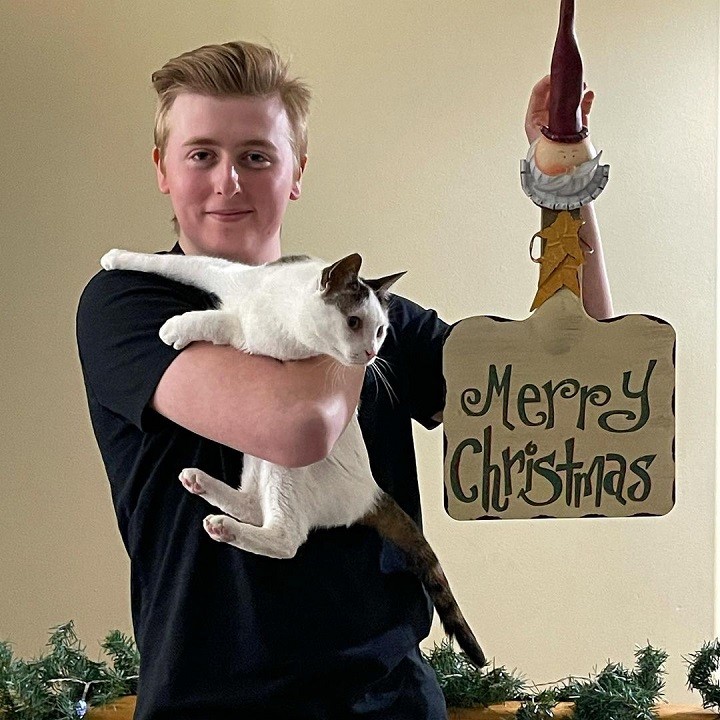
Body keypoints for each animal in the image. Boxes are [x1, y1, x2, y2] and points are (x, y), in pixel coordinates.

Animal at [98, 246, 486, 664]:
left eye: (380, 331)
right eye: (354, 322)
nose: (370, 354)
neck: (283, 304)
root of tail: (371, 493)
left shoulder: (259, 344)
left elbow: (225, 322)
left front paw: (177, 328)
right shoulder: (226, 274)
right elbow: (176, 264)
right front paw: (116, 259)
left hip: (286, 460)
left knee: (287, 538)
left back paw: (222, 527)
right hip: (259, 451)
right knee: (254, 504)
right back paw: (199, 482)